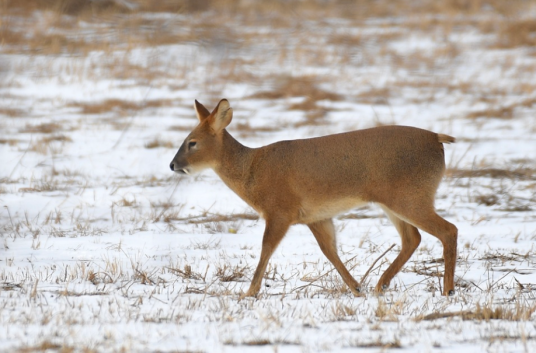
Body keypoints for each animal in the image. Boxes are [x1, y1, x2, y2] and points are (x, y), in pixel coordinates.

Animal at [170, 98, 458, 296]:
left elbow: (266, 249)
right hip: (394, 200)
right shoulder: (316, 216)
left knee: (448, 230)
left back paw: (447, 289)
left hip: (410, 196)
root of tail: (438, 139)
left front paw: (248, 293)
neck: (252, 169)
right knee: (413, 238)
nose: (173, 165)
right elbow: (329, 251)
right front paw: (356, 288)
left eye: (192, 142)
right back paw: (381, 285)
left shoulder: (280, 210)